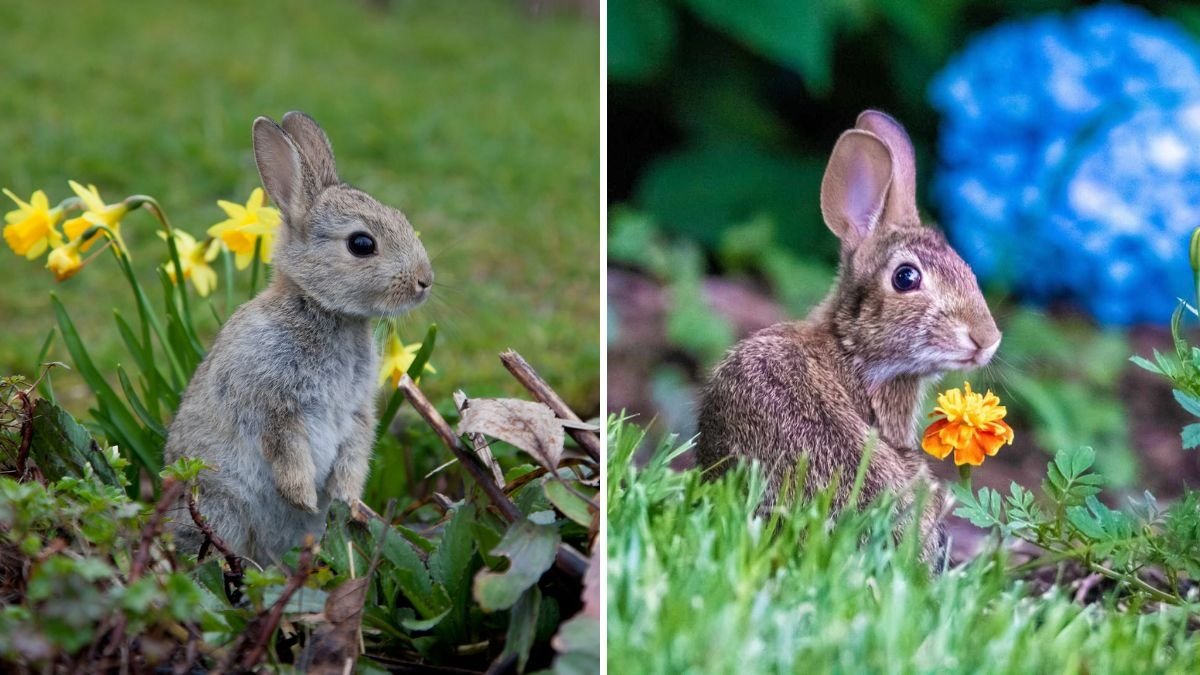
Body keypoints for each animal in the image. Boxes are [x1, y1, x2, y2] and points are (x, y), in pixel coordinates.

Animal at [164, 111, 433, 565]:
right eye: (362, 244)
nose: (424, 281)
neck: (324, 310)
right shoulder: (275, 406)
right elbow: (287, 453)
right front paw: (304, 497)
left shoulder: (357, 412)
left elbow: (354, 454)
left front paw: (347, 500)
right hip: (222, 508)